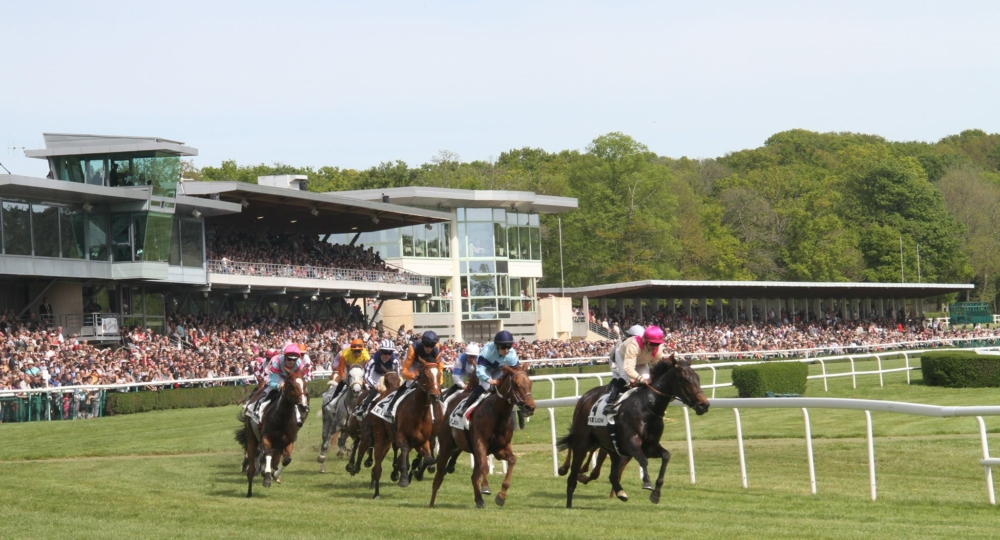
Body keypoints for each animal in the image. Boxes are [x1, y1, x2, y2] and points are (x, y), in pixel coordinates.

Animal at [372, 360, 442, 500]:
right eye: (426, 375)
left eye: (439, 375)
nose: (435, 396)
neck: (419, 412)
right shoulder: (401, 436)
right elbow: (403, 451)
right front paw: (403, 478)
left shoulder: (422, 441)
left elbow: (428, 458)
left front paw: (419, 471)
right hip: (380, 435)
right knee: (378, 465)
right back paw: (376, 493)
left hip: (389, 440)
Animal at [430, 364, 540, 508]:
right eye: (516, 384)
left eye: (530, 383)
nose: (530, 407)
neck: (497, 415)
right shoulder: (480, 444)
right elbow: (485, 467)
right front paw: (486, 487)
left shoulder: (500, 448)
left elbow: (512, 460)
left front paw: (501, 496)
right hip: (446, 445)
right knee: (439, 475)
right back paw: (431, 502)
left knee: (473, 476)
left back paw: (479, 500)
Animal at [556, 356, 712, 508]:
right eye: (686, 380)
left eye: (698, 378)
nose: (704, 405)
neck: (647, 407)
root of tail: (585, 398)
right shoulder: (631, 443)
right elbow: (643, 460)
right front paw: (647, 483)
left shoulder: (649, 446)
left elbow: (666, 456)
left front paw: (656, 494)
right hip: (582, 442)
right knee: (572, 475)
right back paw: (569, 501)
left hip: (613, 448)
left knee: (612, 475)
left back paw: (619, 491)